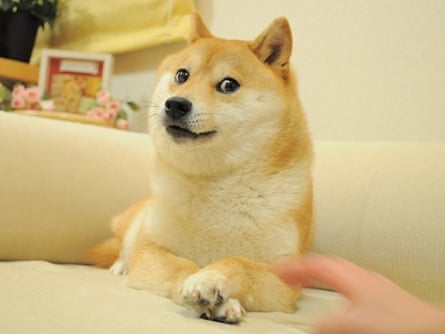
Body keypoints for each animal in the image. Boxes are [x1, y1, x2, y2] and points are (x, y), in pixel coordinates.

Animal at [89, 11, 312, 322]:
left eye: (228, 85)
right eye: (182, 75)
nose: (175, 104)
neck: (215, 180)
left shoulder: (284, 280)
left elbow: (239, 263)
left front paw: (211, 280)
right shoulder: (151, 252)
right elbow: (181, 266)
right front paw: (202, 286)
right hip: (136, 220)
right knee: (123, 246)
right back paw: (120, 265)